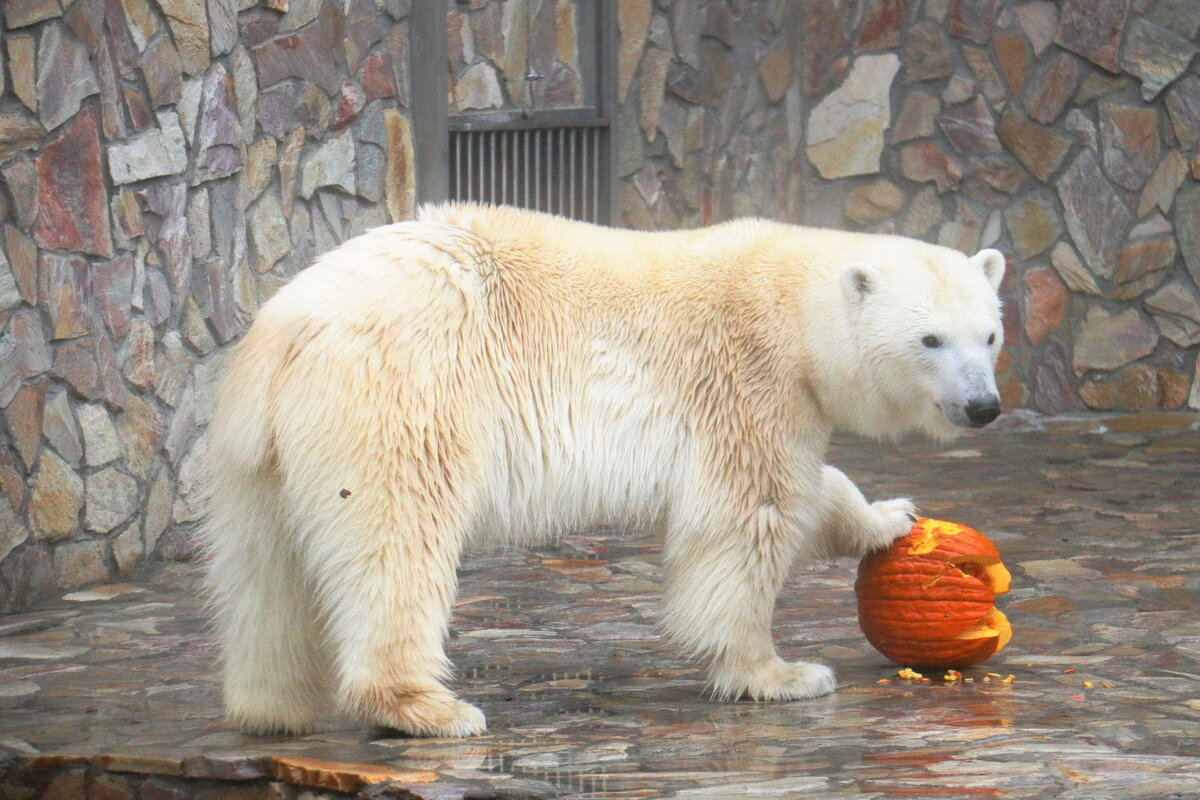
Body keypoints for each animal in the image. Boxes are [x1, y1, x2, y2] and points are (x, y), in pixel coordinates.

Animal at [201, 205, 1008, 738]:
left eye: (991, 333)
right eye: (930, 339)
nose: (983, 406)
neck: (789, 301)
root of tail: (290, 328)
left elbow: (808, 490)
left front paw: (891, 517)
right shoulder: (744, 382)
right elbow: (749, 516)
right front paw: (781, 674)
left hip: (259, 455)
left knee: (265, 571)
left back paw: (273, 706)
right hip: (400, 399)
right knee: (399, 538)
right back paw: (429, 708)